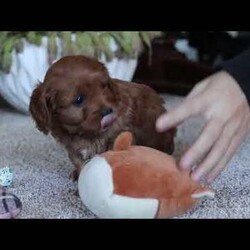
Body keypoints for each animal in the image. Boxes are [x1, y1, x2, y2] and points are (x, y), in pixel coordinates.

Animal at [29, 55, 176, 180]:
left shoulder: (119, 135)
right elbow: (79, 162)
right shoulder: (73, 148)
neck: (86, 133)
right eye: (79, 99)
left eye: (104, 87)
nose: (108, 111)